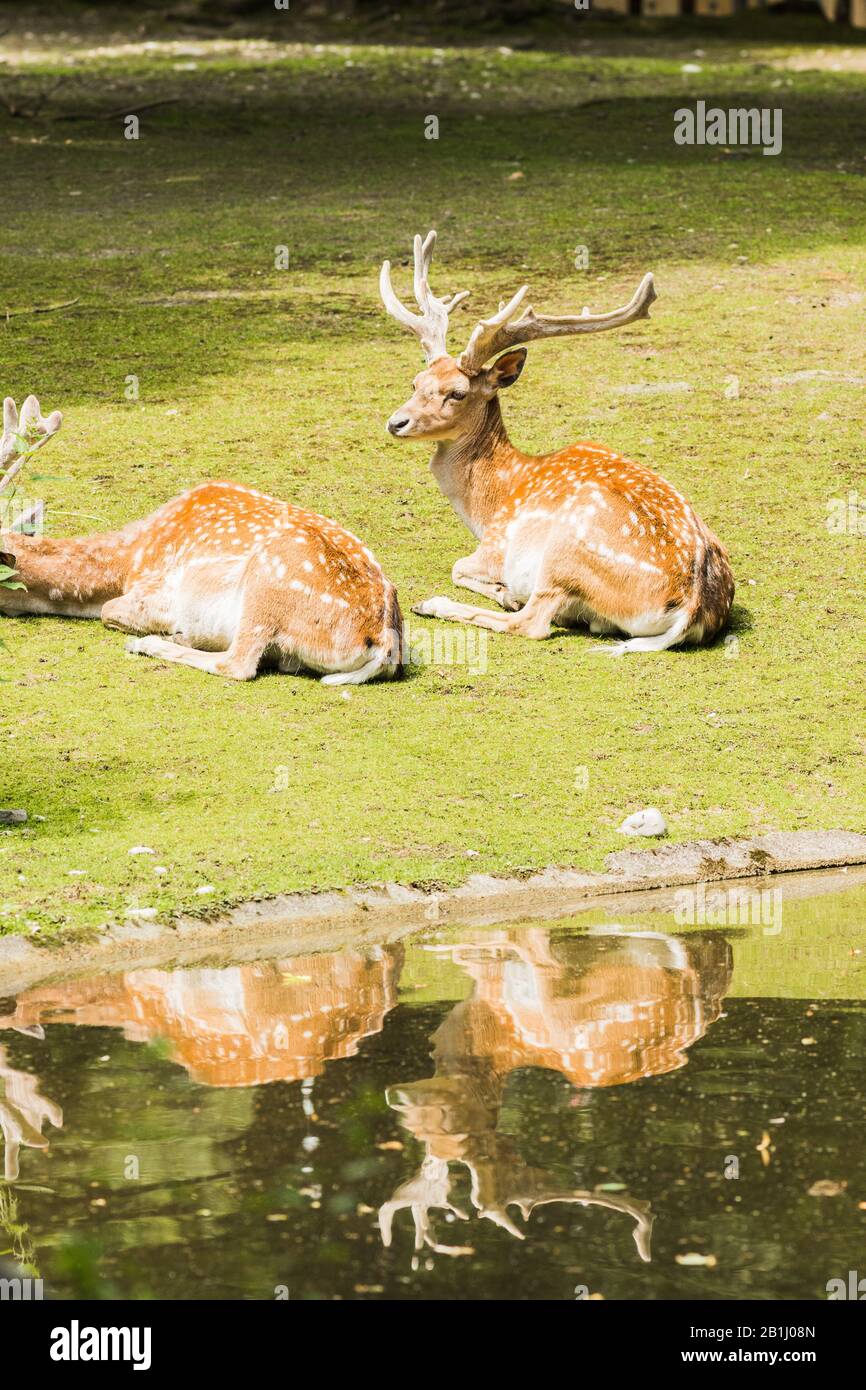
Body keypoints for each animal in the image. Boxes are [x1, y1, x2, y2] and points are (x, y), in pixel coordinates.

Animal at [0, 391, 405, 683]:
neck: (127, 560)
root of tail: (384, 641)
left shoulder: (157, 590)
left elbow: (108, 610)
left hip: (266, 589)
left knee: (238, 664)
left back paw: (154, 642)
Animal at [383, 233, 733, 656]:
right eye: (415, 382)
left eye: (457, 393)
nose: (396, 422)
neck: (490, 502)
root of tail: (692, 607)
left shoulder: (495, 547)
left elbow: (458, 568)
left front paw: (503, 591)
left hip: (563, 554)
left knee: (530, 623)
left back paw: (438, 603)